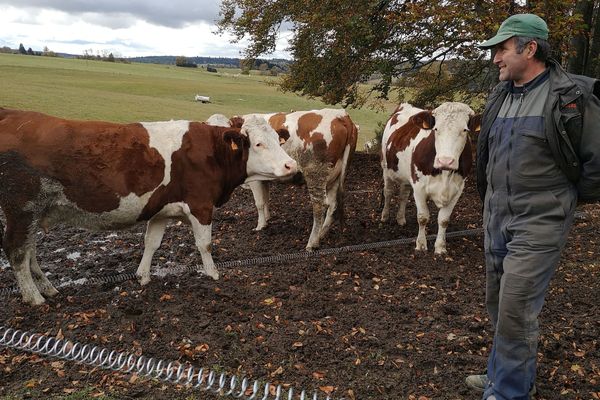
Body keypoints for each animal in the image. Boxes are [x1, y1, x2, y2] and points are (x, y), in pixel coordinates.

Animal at [0, 107, 298, 304]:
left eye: (278, 139)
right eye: (257, 143)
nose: (290, 165)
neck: (212, 153)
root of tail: (14, 113)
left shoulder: (161, 210)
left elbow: (152, 243)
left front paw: (143, 276)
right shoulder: (201, 205)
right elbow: (205, 244)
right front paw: (213, 273)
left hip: (33, 213)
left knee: (29, 251)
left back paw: (48, 288)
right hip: (22, 209)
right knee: (17, 252)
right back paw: (34, 297)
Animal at [382, 102, 480, 253]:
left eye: (465, 130)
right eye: (436, 129)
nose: (445, 161)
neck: (445, 174)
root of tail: (405, 105)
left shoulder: (457, 190)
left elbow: (444, 220)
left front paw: (440, 247)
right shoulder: (419, 188)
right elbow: (423, 217)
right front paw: (421, 245)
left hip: (406, 176)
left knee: (403, 195)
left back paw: (401, 218)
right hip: (386, 169)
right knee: (388, 192)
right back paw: (385, 216)